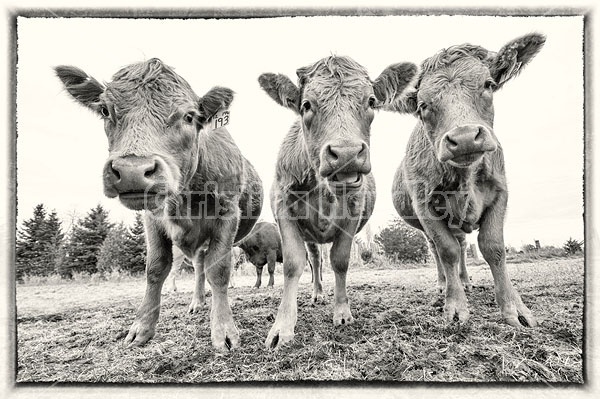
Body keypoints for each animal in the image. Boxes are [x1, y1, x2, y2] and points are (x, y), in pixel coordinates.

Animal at [55, 57, 262, 352]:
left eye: (189, 116)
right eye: (105, 110)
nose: (132, 170)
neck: (185, 198)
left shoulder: (228, 213)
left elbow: (219, 270)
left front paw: (223, 331)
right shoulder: (152, 220)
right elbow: (155, 268)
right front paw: (141, 328)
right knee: (198, 266)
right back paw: (197, 302)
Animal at [258, 54, 418, 348]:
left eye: (371, 101)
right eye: (306, 105)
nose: (346, 154)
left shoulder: (354, 213)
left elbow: (340, 260)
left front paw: (342, 312)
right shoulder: (283, 209)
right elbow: (294, 264)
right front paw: (282, 327)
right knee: (315, 260)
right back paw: (318, 293)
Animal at [390, 33, 544, 328]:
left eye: (488, 84)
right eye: (423, 105)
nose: (463, 138)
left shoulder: (500, 194)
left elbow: (493, 247)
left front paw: (514, 308)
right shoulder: (425, 206)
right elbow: (446, 250)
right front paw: (455, 306)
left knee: (463, 245)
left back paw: (465, 281)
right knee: (440, 250)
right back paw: (445, 285)